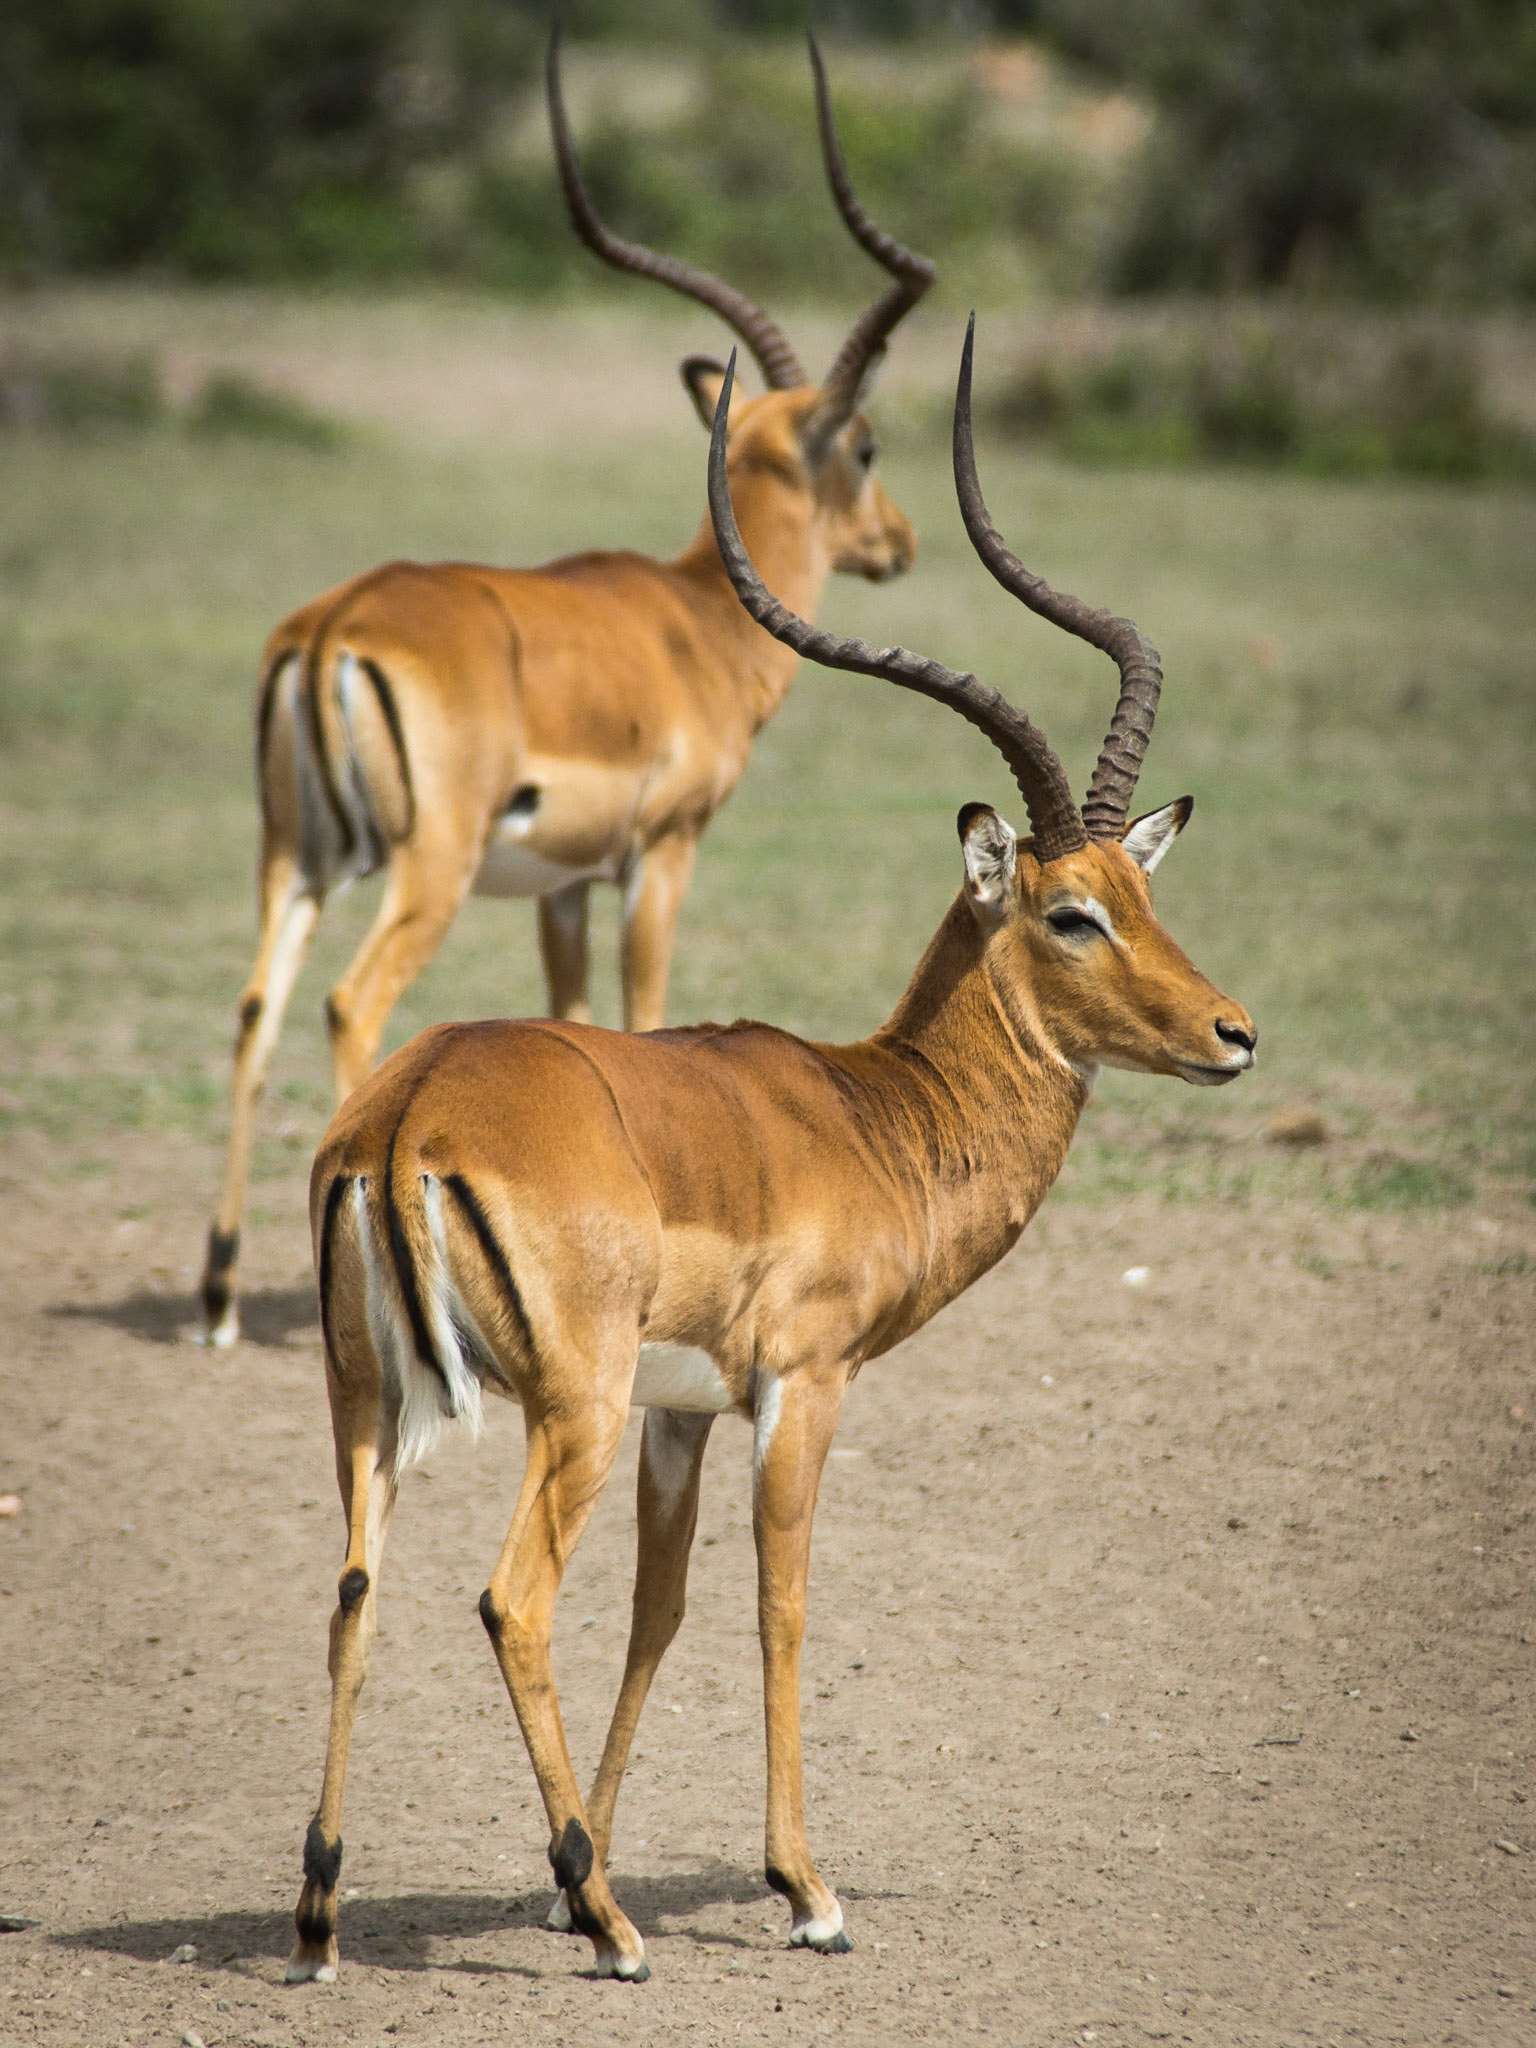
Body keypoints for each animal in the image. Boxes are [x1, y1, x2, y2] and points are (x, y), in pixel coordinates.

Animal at [198, 31, 934, 1346]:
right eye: (867, 447)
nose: (899, 544)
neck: (697, 622)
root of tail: (336, 622)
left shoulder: (562, 884)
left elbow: (577, 1016)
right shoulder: (661, 854)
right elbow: (644, 1018)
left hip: (294, 858)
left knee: (252, 1007)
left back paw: (223, 1292)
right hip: (424, 867)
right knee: (344, 1003)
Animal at [283, 321, 1256, 1988]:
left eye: (1145, 890)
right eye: (1071, 913)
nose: (1232, 1032)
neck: (876, 1114)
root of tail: (410, 1109)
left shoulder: (686, 1413)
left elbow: (661, 1610)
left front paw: (579, 1868)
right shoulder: (801, 1386)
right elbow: (779, 1606)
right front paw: (800, 1890)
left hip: (377, 1403)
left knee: (356, 1592)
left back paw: (329, 1915)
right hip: (568, 1407)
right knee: (509, 1600)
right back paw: (618, 1934)